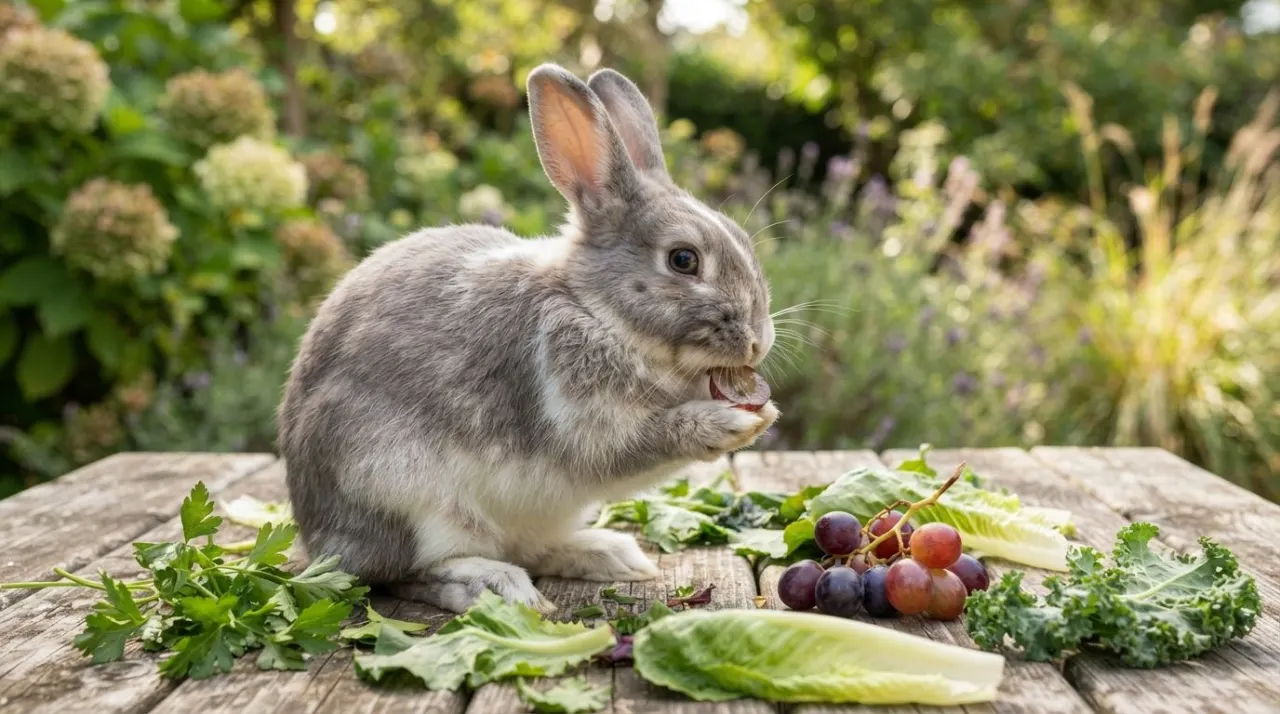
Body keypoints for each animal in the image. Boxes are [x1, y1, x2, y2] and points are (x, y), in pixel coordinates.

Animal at [277, 63, 779, 614]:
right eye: (683, 259)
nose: (759, 342)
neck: (593, 309)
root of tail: (318, 539)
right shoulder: (581, 418)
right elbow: (641, 443)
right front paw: (732, 424)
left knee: (532, 547)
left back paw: (611, 555)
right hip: (402, 494)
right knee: (404, 572)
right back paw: (496, 585)